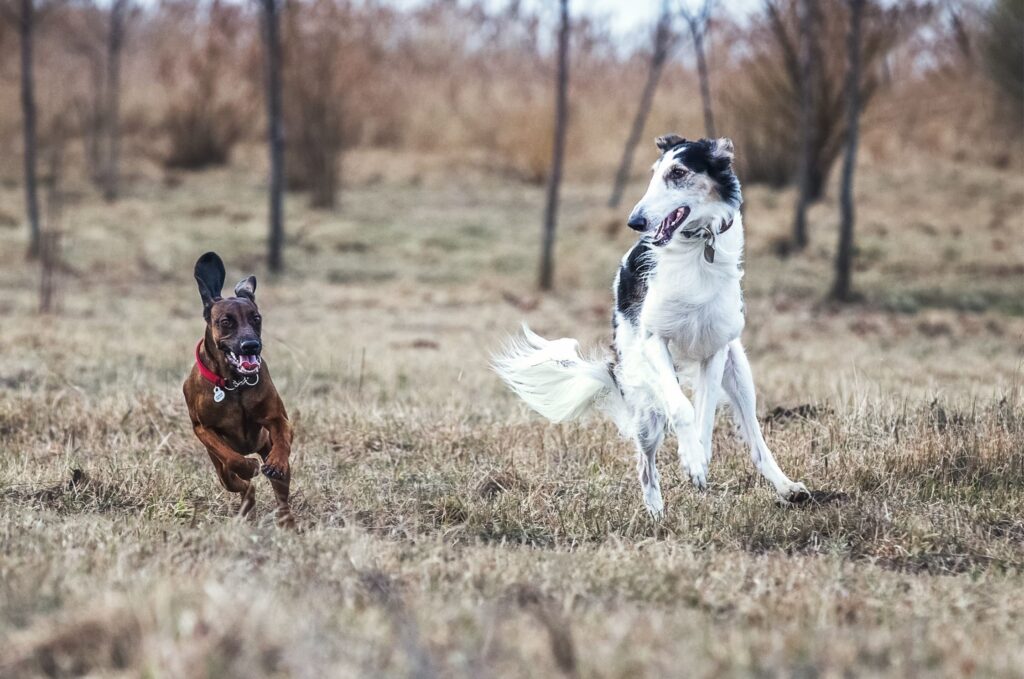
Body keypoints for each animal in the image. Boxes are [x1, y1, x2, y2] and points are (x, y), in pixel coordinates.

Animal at [184, 251, 294, 528]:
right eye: (226, 322)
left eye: (256, 318)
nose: (251, 345)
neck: (235, 384)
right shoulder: (203, 428)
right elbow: (230, 456)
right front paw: (248, 467)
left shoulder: (278, 418)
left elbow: (282, 435)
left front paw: (276, 461)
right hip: (221, 472)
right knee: (241, 484)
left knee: (282, 495)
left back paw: (287, 521)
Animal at [493, 135, 806, 518]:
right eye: (654, 174)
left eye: (678, 172)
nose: (635, 221)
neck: (697, 246)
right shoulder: (654, 340)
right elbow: (683, 409)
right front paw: (692, 461)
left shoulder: (714, 348)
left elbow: (704, 415)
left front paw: (698, 457)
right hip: (643, 395)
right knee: (646, 463)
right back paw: (656, 513)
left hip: (739, 371)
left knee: (756, 442)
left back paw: (787, 487)